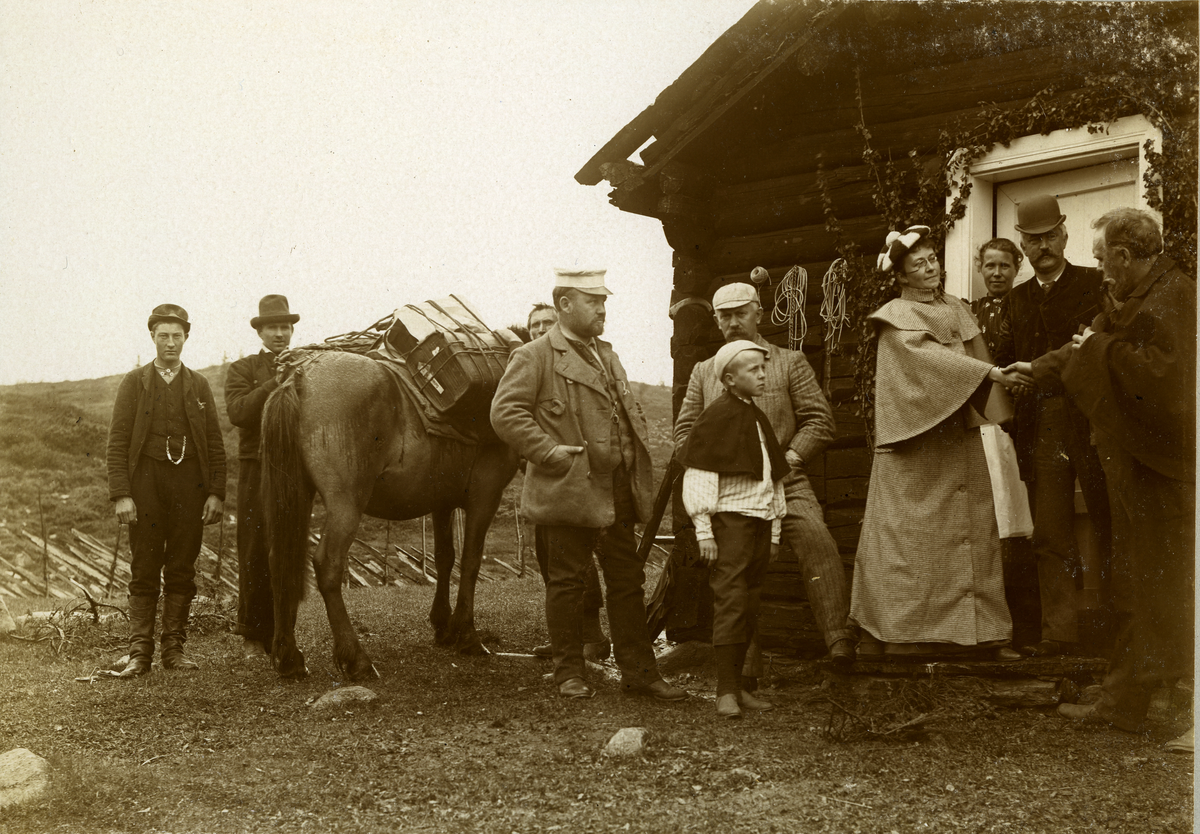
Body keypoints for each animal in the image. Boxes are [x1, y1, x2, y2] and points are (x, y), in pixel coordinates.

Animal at [260, 348, 518, 681]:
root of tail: (300, 377)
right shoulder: (486, 495)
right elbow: (471, 561)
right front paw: (467, 635)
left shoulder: (442, 502)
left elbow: (445, 558)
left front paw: (443, 625)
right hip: (346, 504)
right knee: (327, 564)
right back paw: (357, 659)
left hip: (297, 497)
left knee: (280, 560)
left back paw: (289, 657)